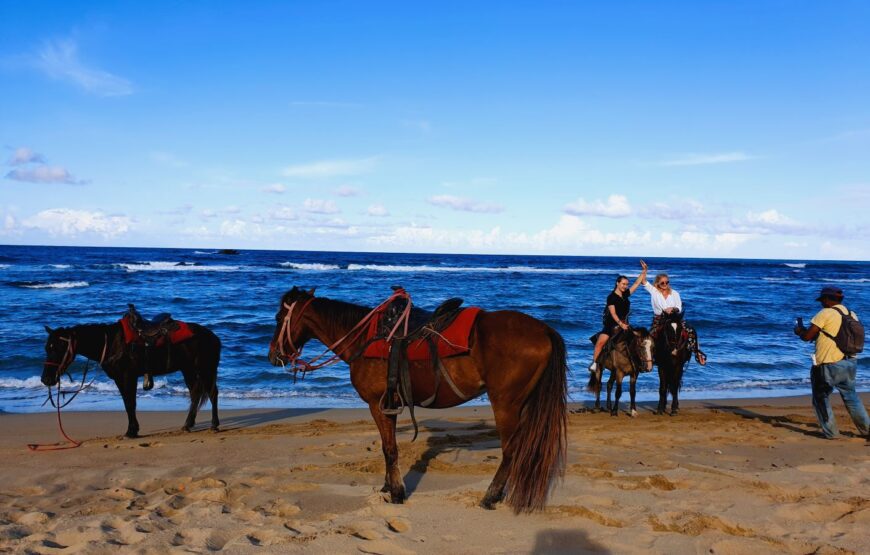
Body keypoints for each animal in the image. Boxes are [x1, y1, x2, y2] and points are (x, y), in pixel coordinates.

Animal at [41, 318, 221, 438]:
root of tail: (213, 337)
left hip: (205, 369)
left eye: (58, 347)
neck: (112, 343)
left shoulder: (128, 376)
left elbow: (130, 404)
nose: (46, 379)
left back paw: (214, 425)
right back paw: (187, 424)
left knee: (212, 393)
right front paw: (132, 430)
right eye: (47, 347)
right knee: (195, 394)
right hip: (188, 369)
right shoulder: (120, 379)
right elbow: (127, 403)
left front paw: (131, 431)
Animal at [266, 288, 568, 516]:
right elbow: (388, 448)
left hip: (505, 403)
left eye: (279, 317)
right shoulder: (388, 405)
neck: (366, 338)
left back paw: (490, 497)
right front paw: (388, 487)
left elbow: (390, 449)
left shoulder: (377, 405)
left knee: (511, 452)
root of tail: (544, 330)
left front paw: (397, 493)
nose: (272, 356)